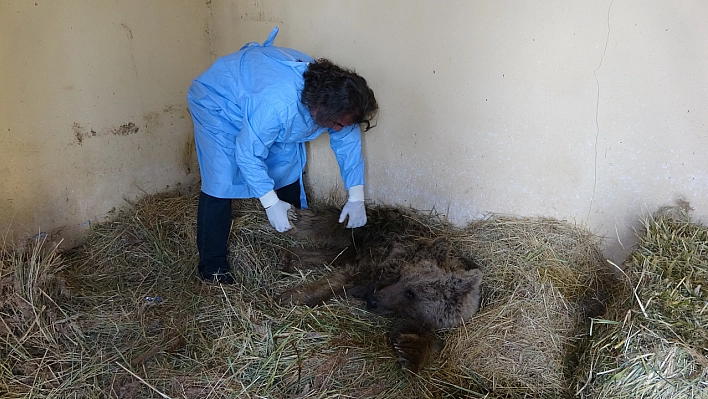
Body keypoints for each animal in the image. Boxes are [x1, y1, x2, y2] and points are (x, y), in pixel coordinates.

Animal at [274, 205, 484, 374]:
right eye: (405, 282)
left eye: (411, 296)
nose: (373, 301)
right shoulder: (386, 262)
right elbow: (343, 279)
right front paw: (293, 297)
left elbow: (423, 339)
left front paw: (409, 353)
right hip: (377, 225)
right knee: (334, 223)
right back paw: (293, 220)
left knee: (338, 254)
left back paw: (290, 258)